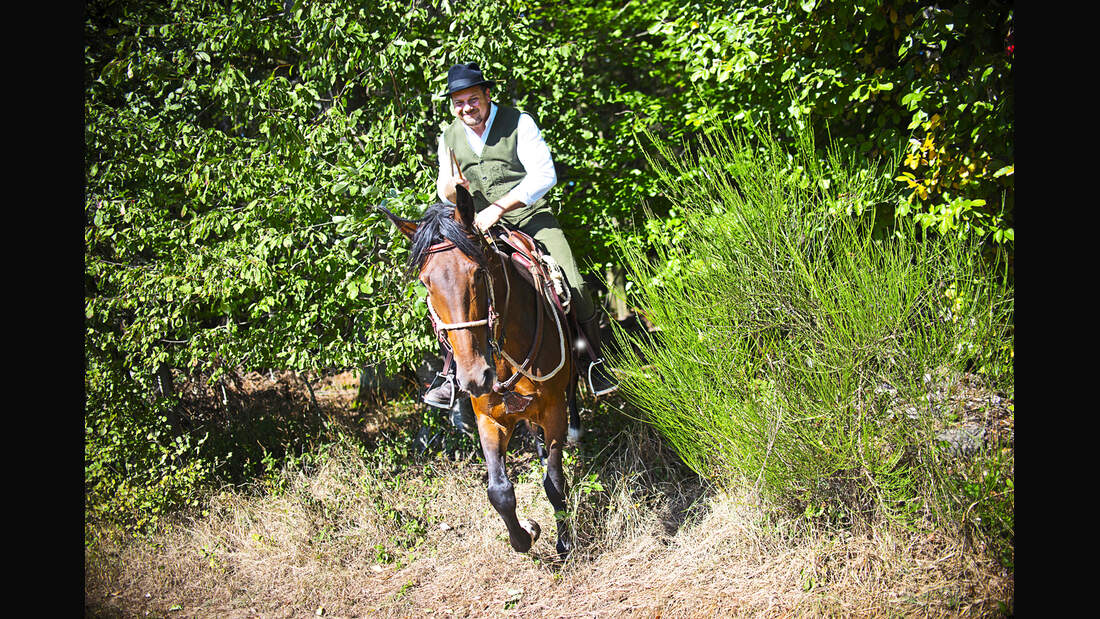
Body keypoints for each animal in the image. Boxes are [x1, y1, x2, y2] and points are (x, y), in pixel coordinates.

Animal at [380, 185, 585, 556]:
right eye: (425, 283)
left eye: (478, 272)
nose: (475, 378)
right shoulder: (488, 419)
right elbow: (499, 492)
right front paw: (528, 532)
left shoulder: (552, 412)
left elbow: (553, 481)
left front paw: (564, 541)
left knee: (575, 388)